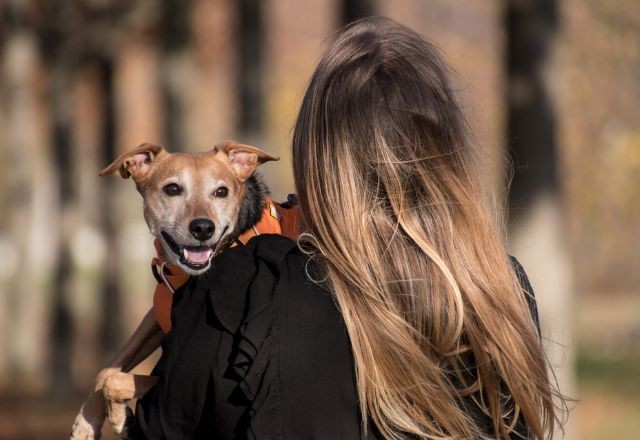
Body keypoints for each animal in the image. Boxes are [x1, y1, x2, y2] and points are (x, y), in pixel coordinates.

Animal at [71, 142, 278, 440]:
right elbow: (109, 367)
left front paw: (120, 417)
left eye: (221, 192)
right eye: (172, 189)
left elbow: (117, 380)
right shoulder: (156, 317)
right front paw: (86, 422)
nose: (203, 228)